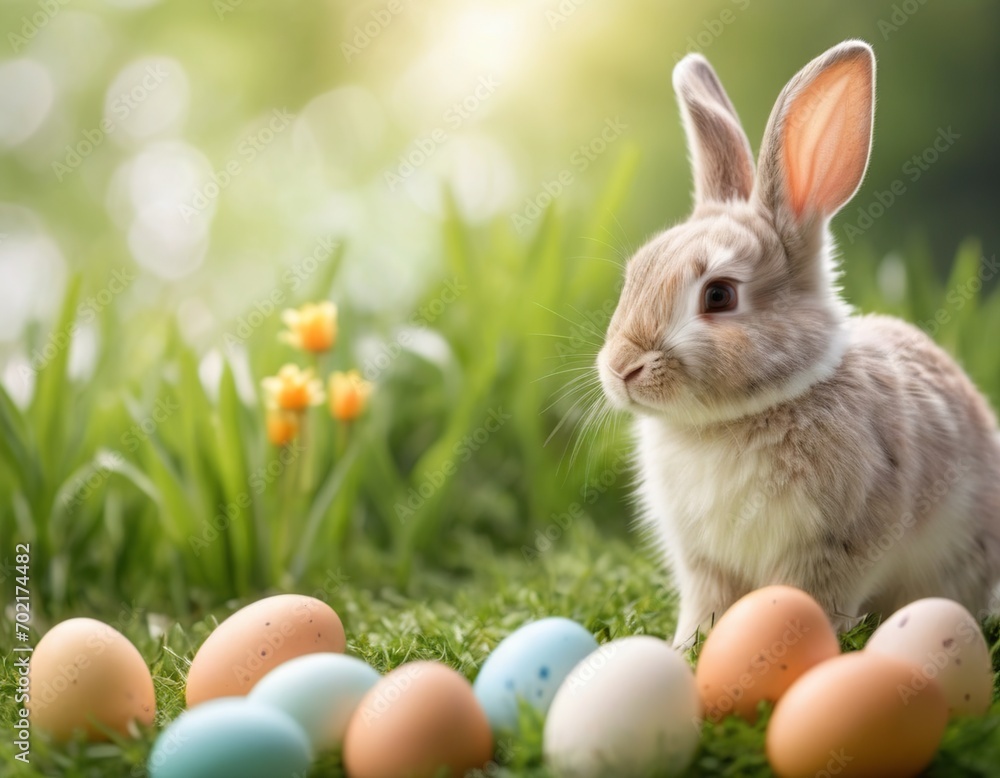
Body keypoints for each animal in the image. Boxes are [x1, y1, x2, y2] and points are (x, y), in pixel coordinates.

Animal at [596, 40, 1000, 649]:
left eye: (719, 295)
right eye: (635, 274)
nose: (621, 369)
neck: (729, 421)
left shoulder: (834, 547)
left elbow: (803, 602)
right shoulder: (705, 562)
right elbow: (705, 607)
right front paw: (685, 649)